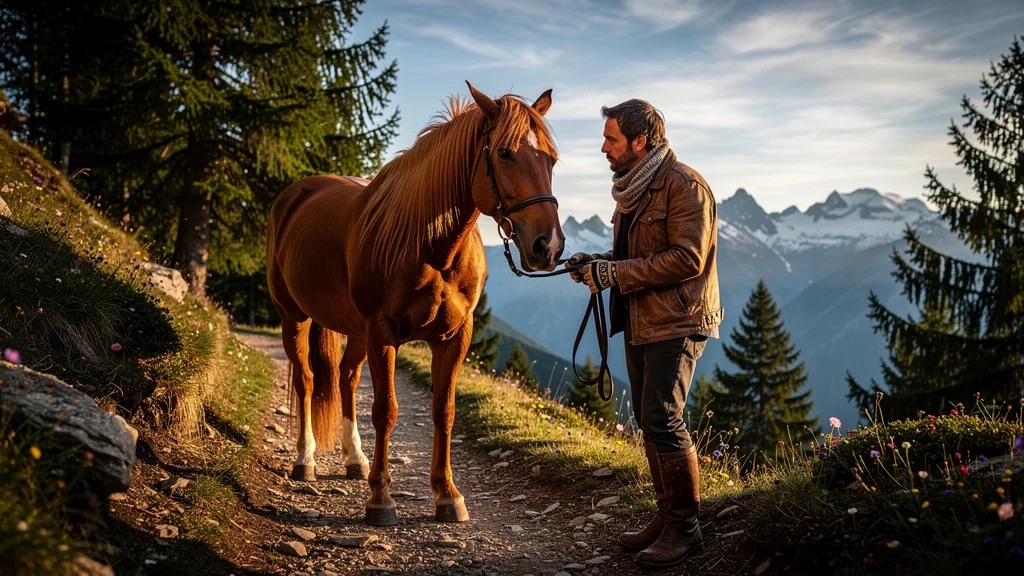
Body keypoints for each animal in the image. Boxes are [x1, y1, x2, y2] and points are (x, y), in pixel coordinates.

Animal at [266, 82, 564, 526]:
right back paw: (306, 460)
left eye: (552, 159)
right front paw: (380, 499)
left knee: (346, 378)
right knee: (305, 379)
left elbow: (444, 411)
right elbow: (385, 411)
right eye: (504, 153)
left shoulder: (455, 337)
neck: (433, 248)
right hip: (295, 317)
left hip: (355, 331)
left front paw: (447, 494)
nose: (549, 246)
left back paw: (354, 459)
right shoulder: (383, 332)